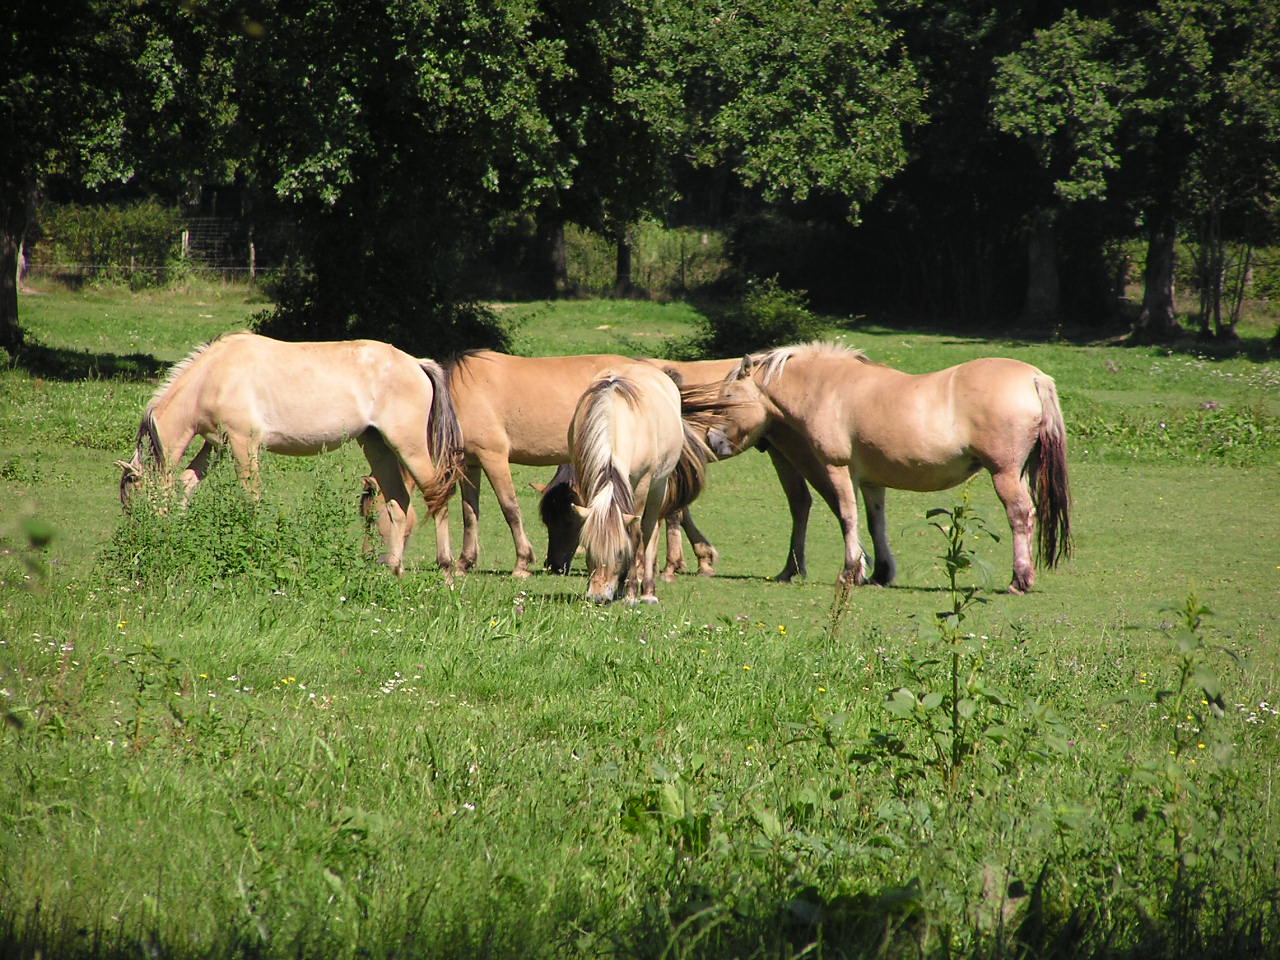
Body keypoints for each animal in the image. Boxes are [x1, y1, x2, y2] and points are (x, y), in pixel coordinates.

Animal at [115, 332, 465, 570]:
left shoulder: (244, 444)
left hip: (410, 447)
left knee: (438, 494)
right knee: (398, 503)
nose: (139, 542)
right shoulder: (217, 445)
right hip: (377, 446)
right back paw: (393, 568)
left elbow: (251, 497)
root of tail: (417, 363)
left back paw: (447, 568)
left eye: (133, 501)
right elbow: (187, 483)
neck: (213, 376)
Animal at [568, 360, 706, 601]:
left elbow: (636, 533)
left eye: (620, 552)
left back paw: (648, 590)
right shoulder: (586, 483)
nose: (598, 597)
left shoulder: (642, 486)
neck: (613, 417)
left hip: (658, 487)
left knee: (650, 529)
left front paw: (631, 590)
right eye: (589, 548)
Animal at [711, 343, 1070, 591]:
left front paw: (850, 571)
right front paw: (880, 573)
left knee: (1020, 515)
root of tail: (1034, 377)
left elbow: (848, 517)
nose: (713, 441)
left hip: (1004, 473)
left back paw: (1019, 580)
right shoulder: (872, 481)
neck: (830, 387)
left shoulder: (839, 469)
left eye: (726, 398)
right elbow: (875, 524)